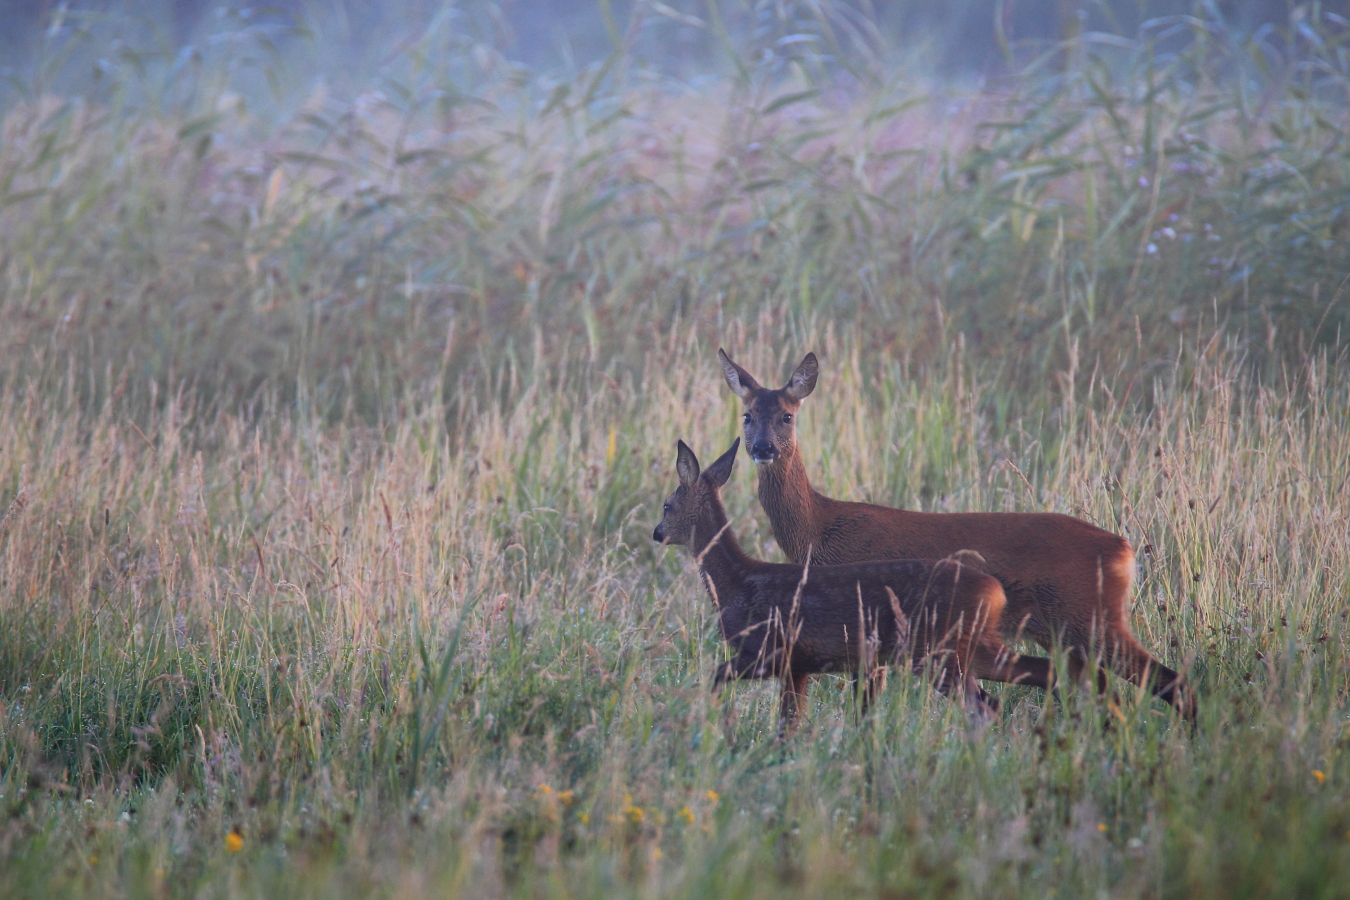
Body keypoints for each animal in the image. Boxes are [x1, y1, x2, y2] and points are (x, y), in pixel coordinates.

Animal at [650, 439, 1015, 734]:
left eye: (667, 505)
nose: (656, 532)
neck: (735, 584)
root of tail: (994, 593)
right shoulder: (797, 666)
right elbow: (788, 722)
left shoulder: (767, 650)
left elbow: (715, 678)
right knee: (993, 700)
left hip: (937, 649)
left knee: (983, 707)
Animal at [723, 348, 1198, 723]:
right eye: (747, 415)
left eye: (787, 415)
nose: (762, 448)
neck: (821, 530)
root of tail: (1125, 549)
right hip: (1070, 630)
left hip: (1092, 619)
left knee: (1169, 683)